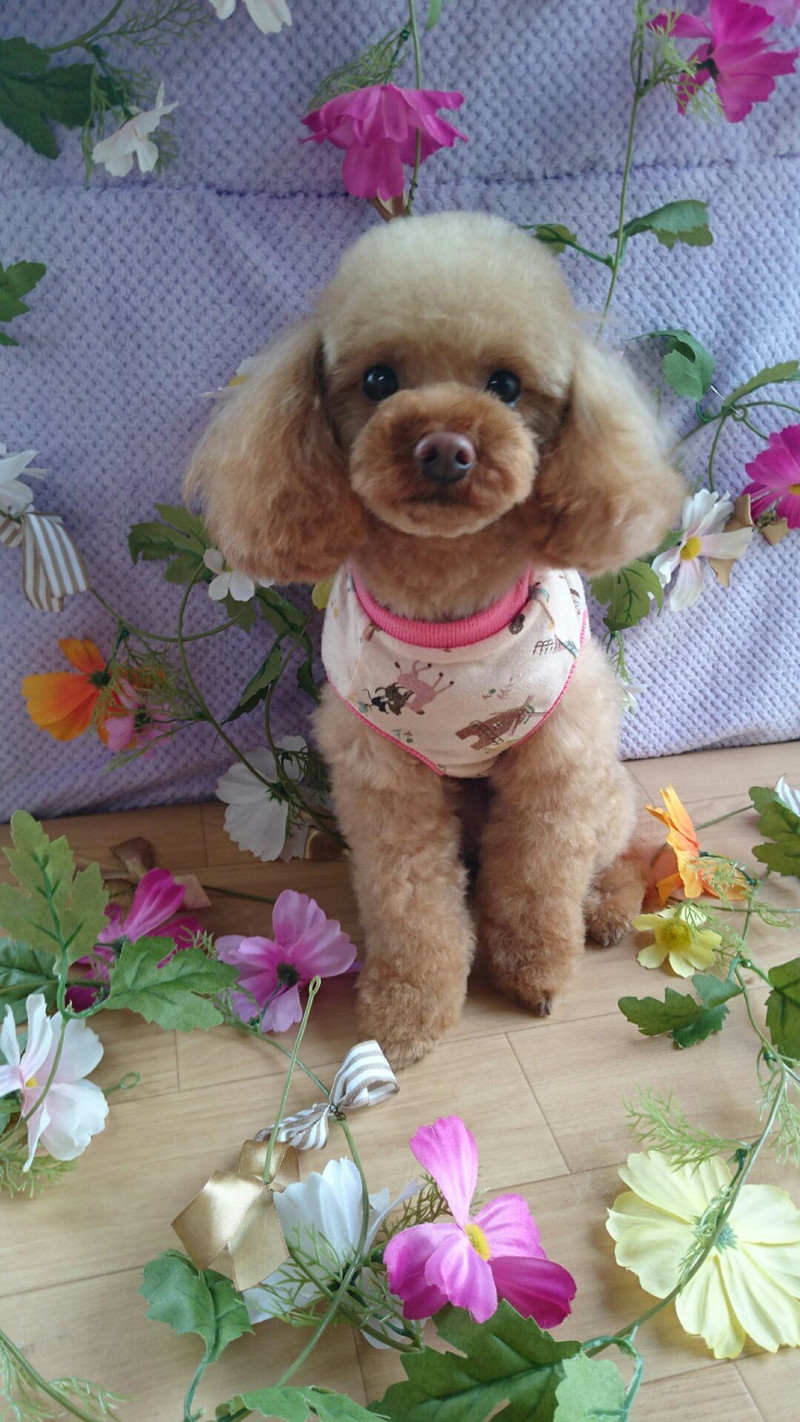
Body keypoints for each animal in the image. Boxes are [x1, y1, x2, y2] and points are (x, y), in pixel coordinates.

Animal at [187, 211, 683, 1067]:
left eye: (507, 386)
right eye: (379, 380)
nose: (446, 448)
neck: (448, 605)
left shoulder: (557, 762)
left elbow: (537, 880)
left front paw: (534, 972)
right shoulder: (382, 779)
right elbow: (412, 901)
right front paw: (408, 1009)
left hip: (602, 786)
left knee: (616, 851)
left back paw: (608, 910)